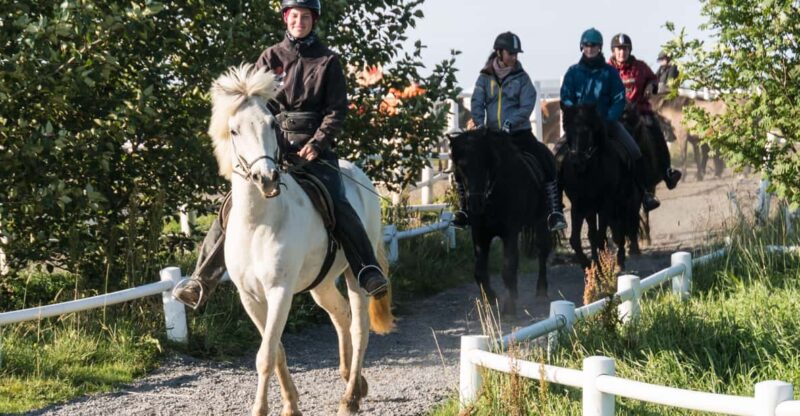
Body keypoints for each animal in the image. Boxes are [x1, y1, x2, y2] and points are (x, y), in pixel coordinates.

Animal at [208, 64, 394, 416]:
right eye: (234, 131)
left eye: (271, 124)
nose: (266, 178)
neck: (259, 223)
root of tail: (359, 174)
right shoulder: (250, 297)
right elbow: (277, 350)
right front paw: (291, 405)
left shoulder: (279, 292)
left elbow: (266, 355)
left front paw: (261, 409)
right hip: (321, 284)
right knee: (341, 315)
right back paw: (353, 380)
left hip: (356, 275)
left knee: (359, 328)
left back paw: (350, 397)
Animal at [448, 129, 552, 316]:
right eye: (459, 167)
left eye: (483, 164)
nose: (475, 204)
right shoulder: (480, 233)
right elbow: (479, 272)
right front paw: (491, 298)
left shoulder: (510, 232)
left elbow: (508, 268)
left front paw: (509, 309)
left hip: (541, 221)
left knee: (542, 251)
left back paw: (541, 290)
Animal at [559, 104, 641, 269]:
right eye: (566, 128)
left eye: (587, 131)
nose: (576, 162)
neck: (588, 171)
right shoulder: (579, 205)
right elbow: (577, 239)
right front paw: (589, 264)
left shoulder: (605, 204)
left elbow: (601, 236)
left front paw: (602, 266)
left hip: (622, 203)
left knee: (620, 229)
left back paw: (620, 260)